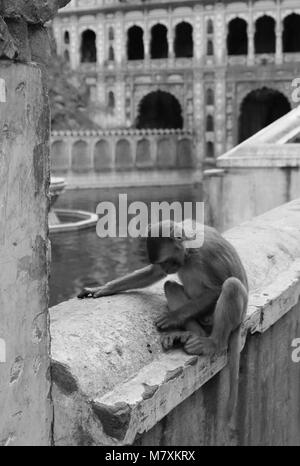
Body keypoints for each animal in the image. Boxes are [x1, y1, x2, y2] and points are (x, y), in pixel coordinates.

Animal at [78, 219, 248, 422]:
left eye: (168, 261)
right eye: (163, 263)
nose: (167, 269)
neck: (189, 252)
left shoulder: (207, 254)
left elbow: (216, 288)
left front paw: (172, 317)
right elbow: (154, 274)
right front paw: (103, 288)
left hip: (225, 318)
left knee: (231, 285)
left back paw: (213, 343)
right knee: (170, 285)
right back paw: (189, 334)